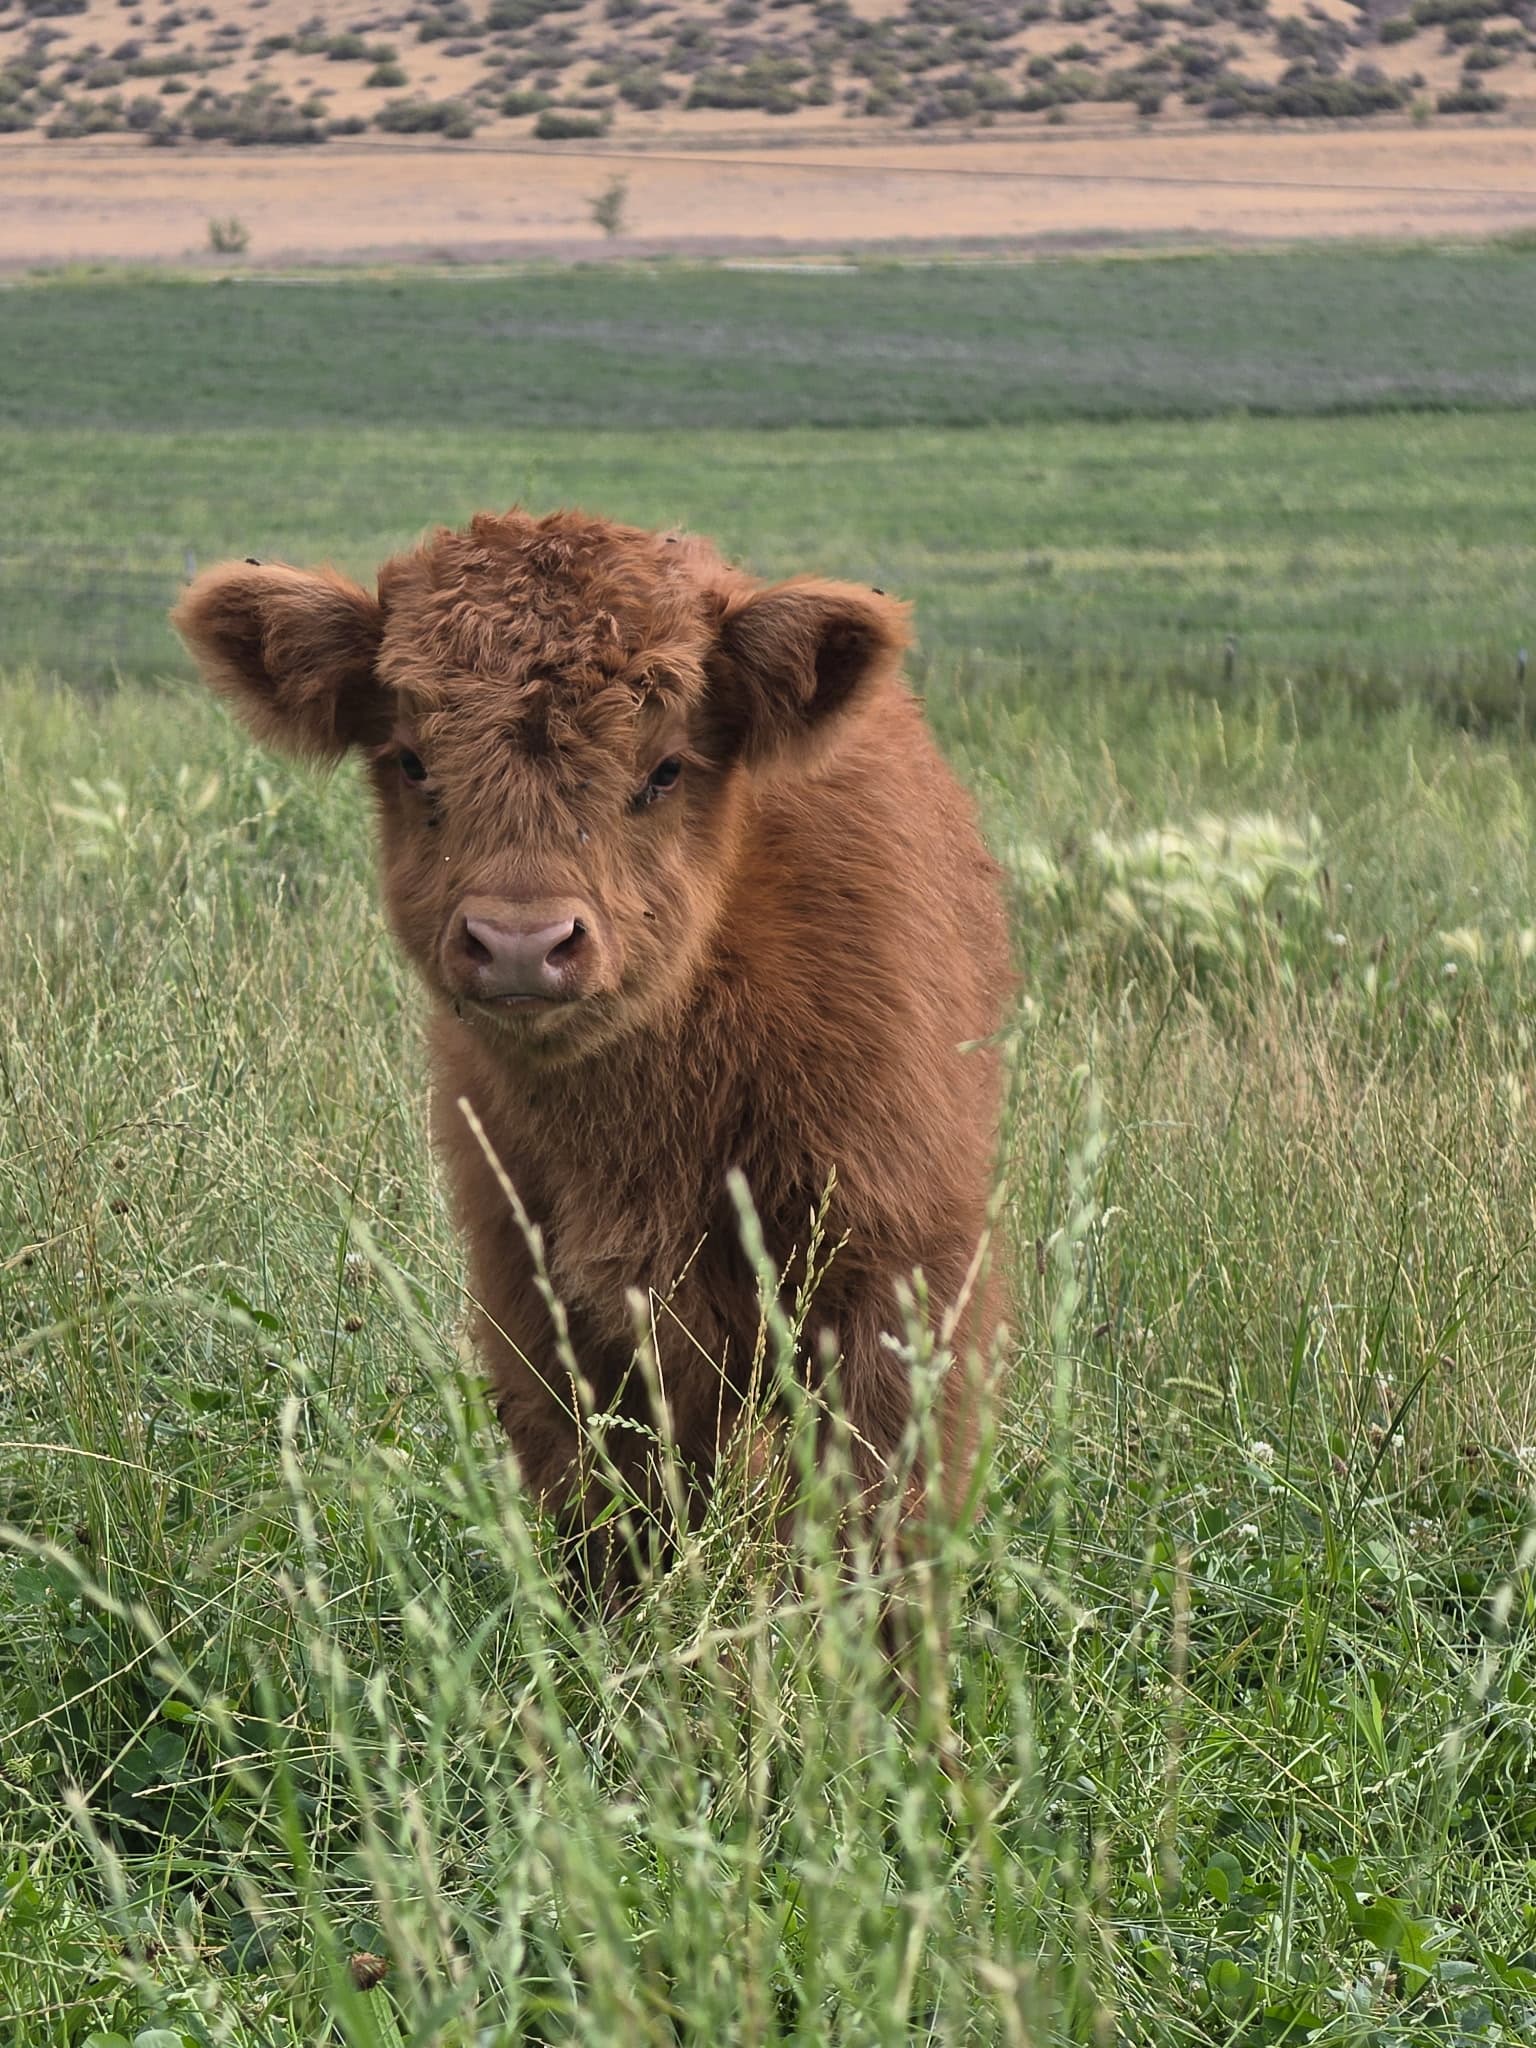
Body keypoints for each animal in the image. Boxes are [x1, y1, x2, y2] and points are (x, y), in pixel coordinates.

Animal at [174, 509, 1012, 1591]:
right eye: (411, 759)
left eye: (665, 768)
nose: (520, 942)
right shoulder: (540, 1300)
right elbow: (608, 1529)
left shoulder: (898, 1270)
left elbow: (884, 1523)